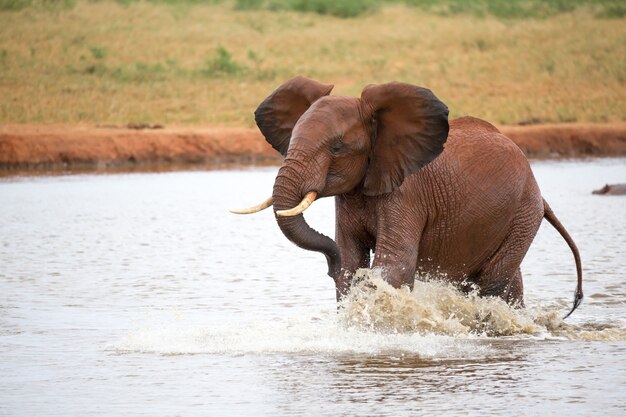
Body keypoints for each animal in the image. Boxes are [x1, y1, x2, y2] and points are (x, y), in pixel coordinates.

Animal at [232, 75, 584, 316]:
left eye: (337, 147)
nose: (329, 263)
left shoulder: (407, 193)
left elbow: (395, 265)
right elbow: (352, 259)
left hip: (523, 214)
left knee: (490, 284)